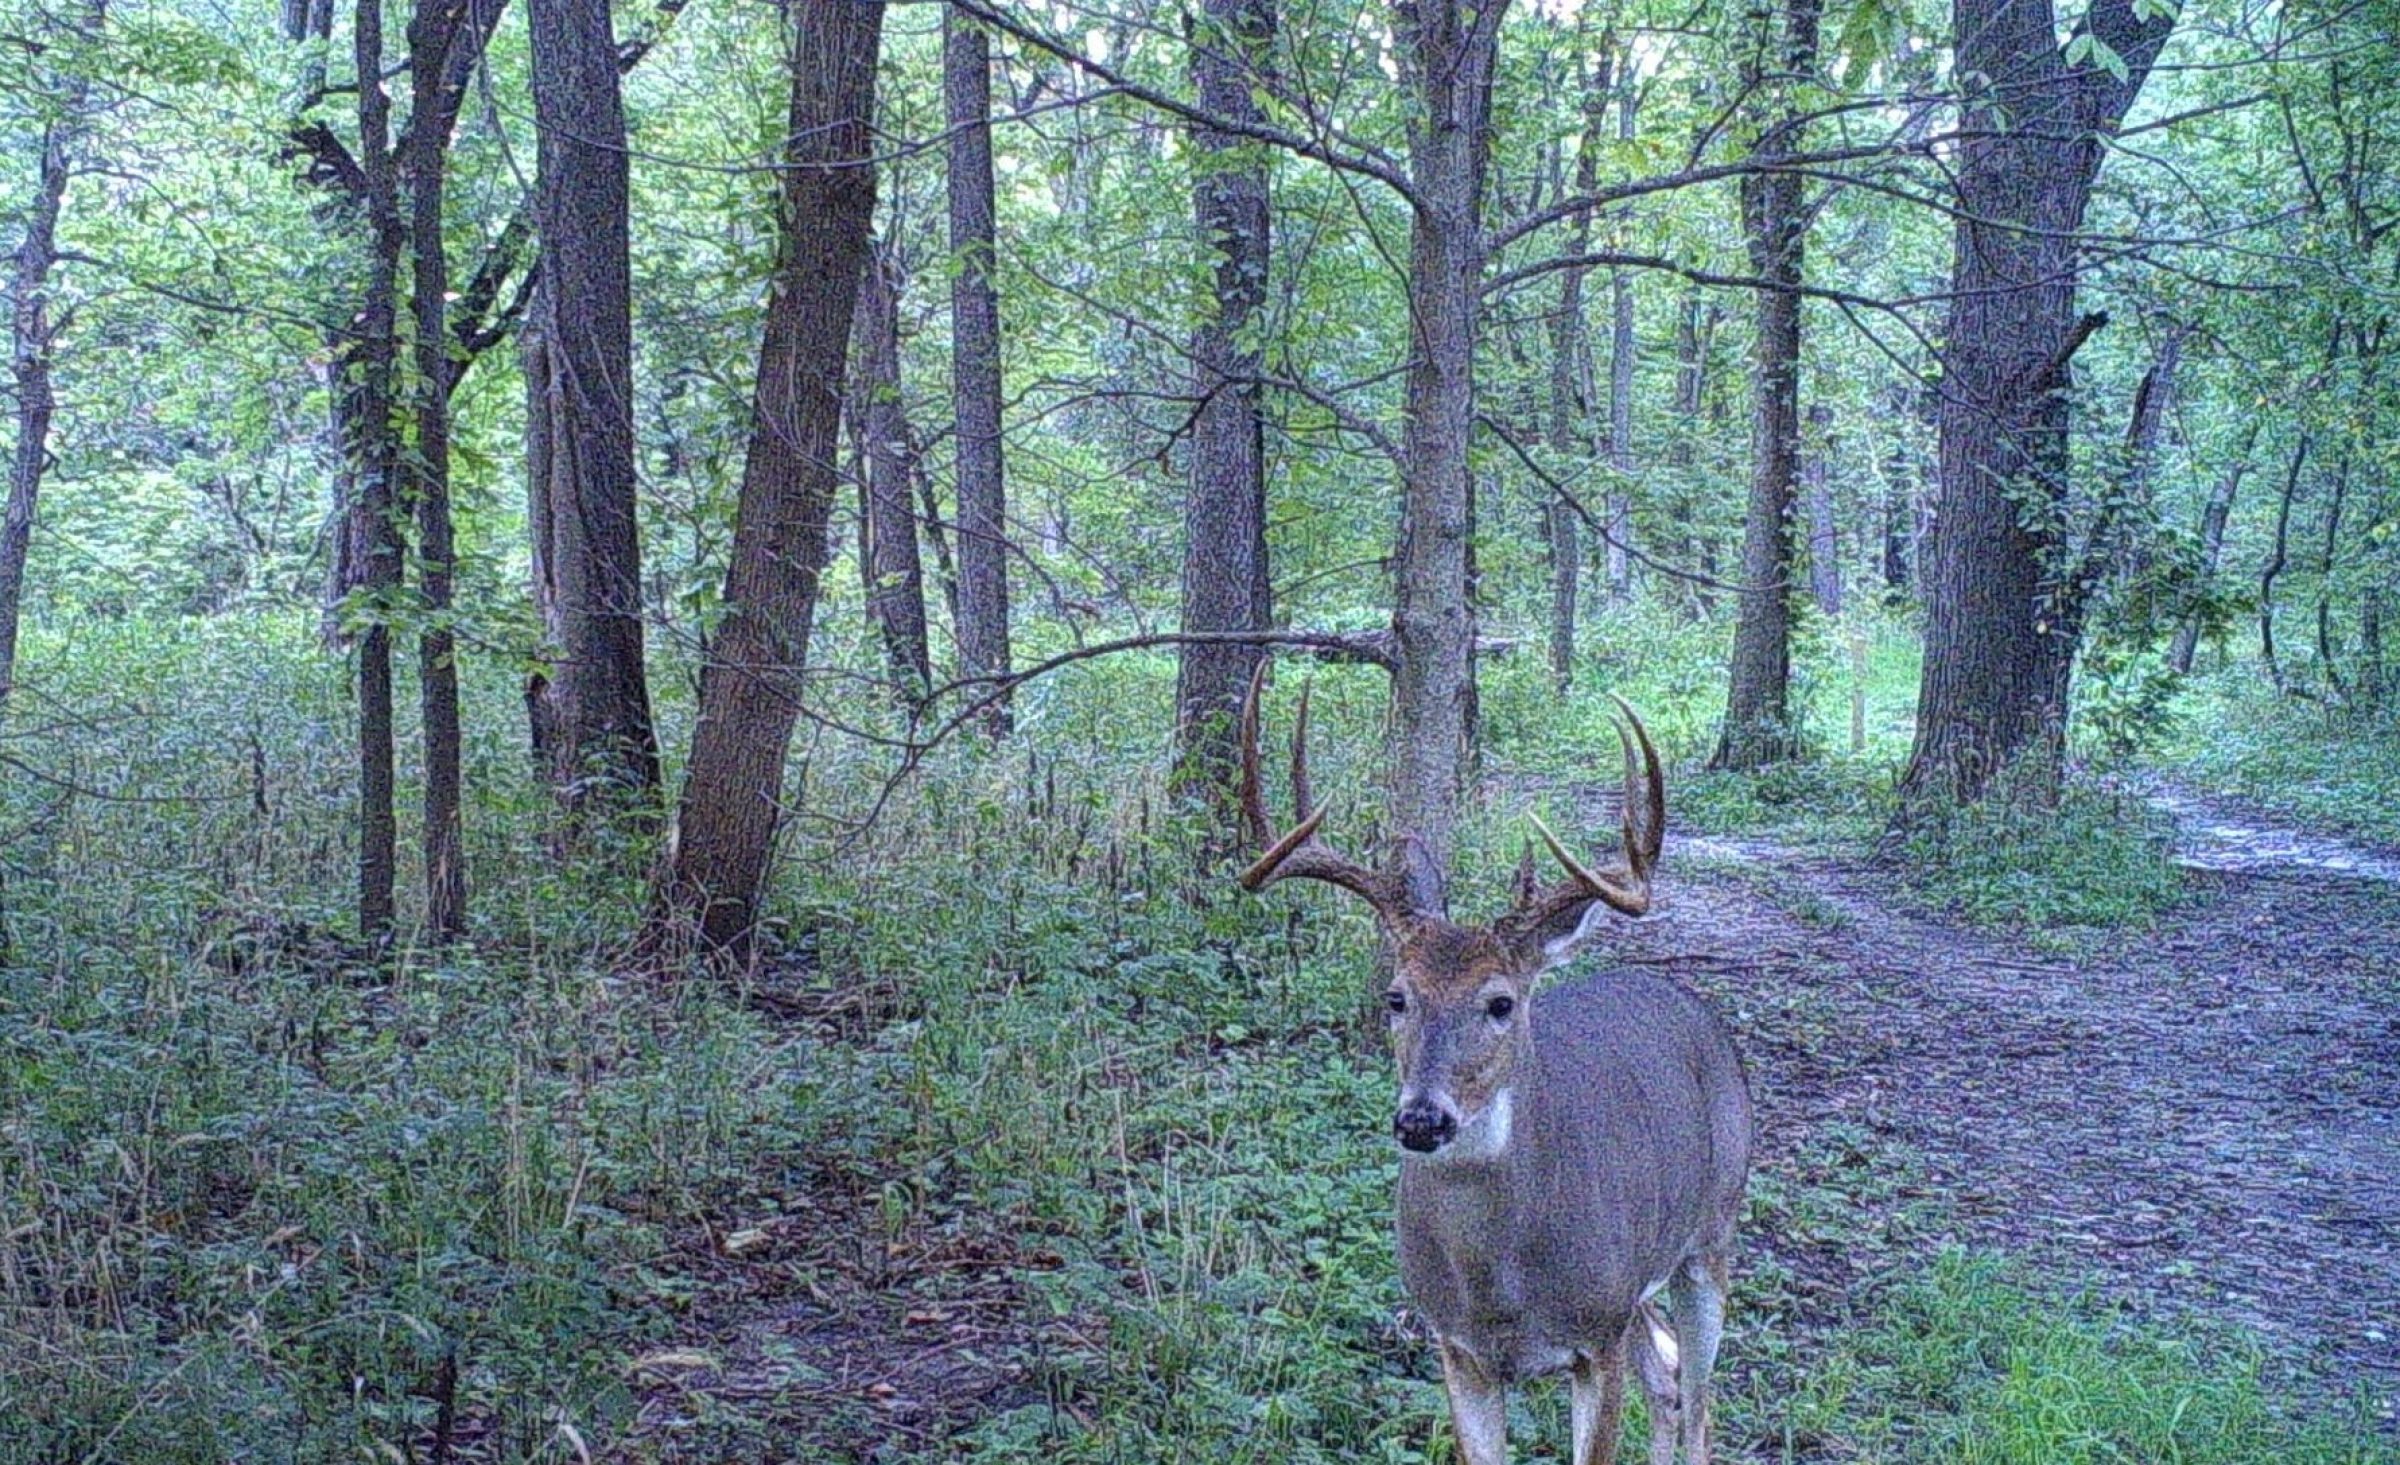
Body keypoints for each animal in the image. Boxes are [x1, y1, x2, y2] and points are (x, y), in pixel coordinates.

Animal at [1228, 662, 1756, 1460]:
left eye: (1501, 1002)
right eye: (1396, 996)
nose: (1422, 1119)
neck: (1502, 1286)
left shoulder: (1594, 1337)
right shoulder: (1457, 1347)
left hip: (1711, 1234)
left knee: (1698, 1401)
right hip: (1639, 1281)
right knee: (1666, 1382)